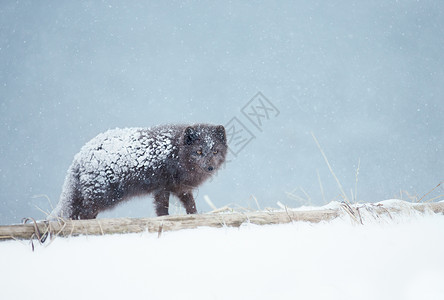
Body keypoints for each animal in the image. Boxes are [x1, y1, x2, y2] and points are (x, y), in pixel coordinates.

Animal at [49, 123, 225, 219]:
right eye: (199, 151)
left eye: (215, 151)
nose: (210, 167)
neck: (175, 152)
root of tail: (79, 156)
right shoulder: (162, 187)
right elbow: (162, 209)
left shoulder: (180, 188)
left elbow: (190, 205)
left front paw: (194, 216)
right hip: (102, 196)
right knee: (83, 213)